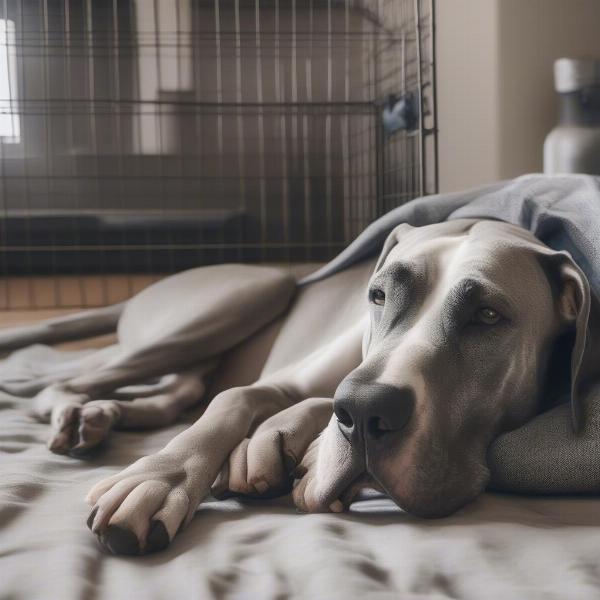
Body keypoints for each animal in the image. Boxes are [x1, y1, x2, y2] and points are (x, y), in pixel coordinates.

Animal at [1, 218, 596, 556]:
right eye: (377, 295)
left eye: (488, 316)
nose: (365, 411)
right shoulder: (288, 377)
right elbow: (237, 400)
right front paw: (159, 479)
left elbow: (312, 400)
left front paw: (281, 443)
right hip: (257, 290)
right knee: (71, 378)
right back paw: (74, 412)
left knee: (172, 395)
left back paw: (103, 415)